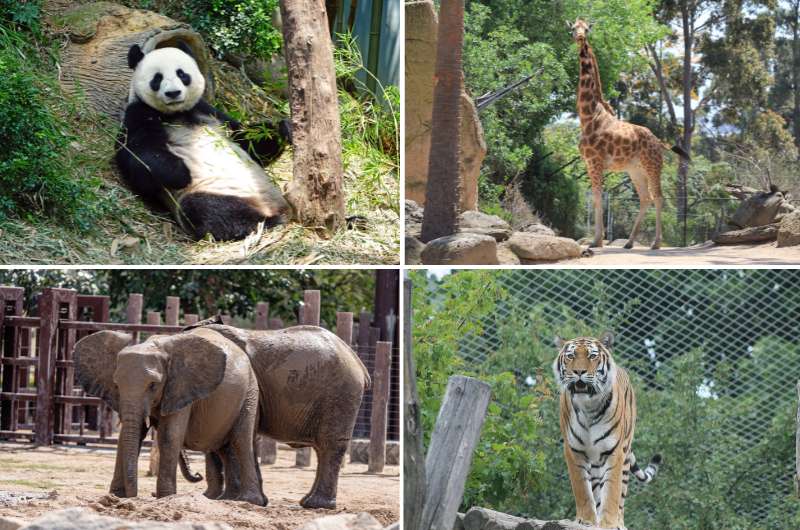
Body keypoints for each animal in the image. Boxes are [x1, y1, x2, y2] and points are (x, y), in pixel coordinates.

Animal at [73, 326, 264, 504]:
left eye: (153, 385)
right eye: (116, 384)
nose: (198, 475)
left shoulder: (180, 385)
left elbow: (169, 436)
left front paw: (166, 497)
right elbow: (127, 436)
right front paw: (116, 496)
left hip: (250, 392)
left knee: (241, 440)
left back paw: (249, 501)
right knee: (224, 447)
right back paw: (227, 499)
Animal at [111, 42, 290, 240]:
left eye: (182, 74)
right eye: (157, 78)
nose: (173, 93)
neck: (176, 113)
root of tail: (268, 206)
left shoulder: (208, 111)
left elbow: (246, 141)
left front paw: (283, 129)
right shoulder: (139, 114)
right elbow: (138, 157)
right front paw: (180, 173)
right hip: (215, 190)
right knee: (211, 210)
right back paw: (265, 222)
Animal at [192, 320, 370, 506]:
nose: (197, 475)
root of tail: (358, 362)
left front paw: (226, 499)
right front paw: (222, 498)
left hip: (341, 394)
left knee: (330, 444)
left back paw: (316, 504)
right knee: (321, 448)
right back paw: (307, 502)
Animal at [552, 328, 664, 524]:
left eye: (592, 356)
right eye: (571, 356)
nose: (578, 371)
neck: (588, 406)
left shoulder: (615, 451)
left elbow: (612, 490)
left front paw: (609, 523)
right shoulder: (573, 450)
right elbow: (582, 490)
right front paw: (586, 520)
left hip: (624, 453)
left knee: (621, 494)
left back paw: (619, 522)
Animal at [568, 17, 688, 248]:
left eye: (586, 29)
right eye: (573, 29)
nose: (579, 37)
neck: (588, 116)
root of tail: (659, 141)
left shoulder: (596, 162)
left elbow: (598, 198)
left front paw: (596, 241)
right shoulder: (589, 163)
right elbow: (596, 198)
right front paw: (598, 239)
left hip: (653, 165)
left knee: (658, 197)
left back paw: (656, 243)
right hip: (635, 170)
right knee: (645, 198)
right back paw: (629, 242)